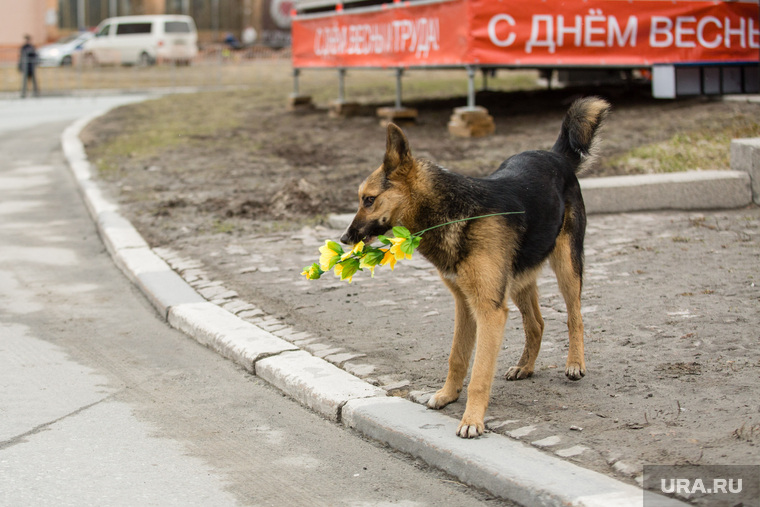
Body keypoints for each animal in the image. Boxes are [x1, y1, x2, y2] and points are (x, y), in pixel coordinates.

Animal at [342, 97, 608, 438]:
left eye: (369, 199)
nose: (344, 238)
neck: (454, 212)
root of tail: (555, 155)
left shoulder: (489, 310)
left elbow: (480, 372)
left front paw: (472, 419)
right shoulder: (465, 304)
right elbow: (457, 356)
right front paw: (448, 394)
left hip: (566, 267)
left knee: (575, 318)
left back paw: (575, 363)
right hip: (518, 280)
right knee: (536, 324)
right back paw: (525, 366)